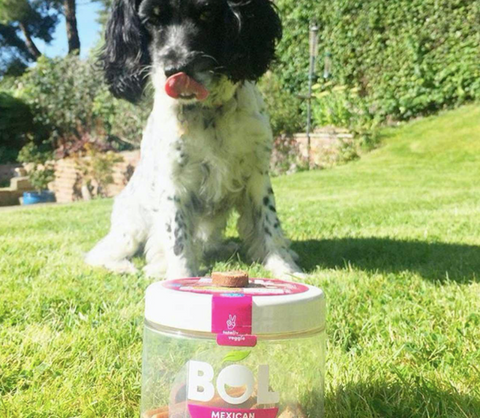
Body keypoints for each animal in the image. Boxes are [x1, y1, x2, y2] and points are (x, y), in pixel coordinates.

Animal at [85, 0, 304, 280]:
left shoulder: (257, 173)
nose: (175, 70)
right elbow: (178, 237)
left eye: (206, 13)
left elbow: (269, 225)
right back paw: (128, 266)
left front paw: (285, 269)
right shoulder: (174, 181)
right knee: (100, 253)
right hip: (132, 227)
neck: (209, 112)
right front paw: (181, 277)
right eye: (151, 21)